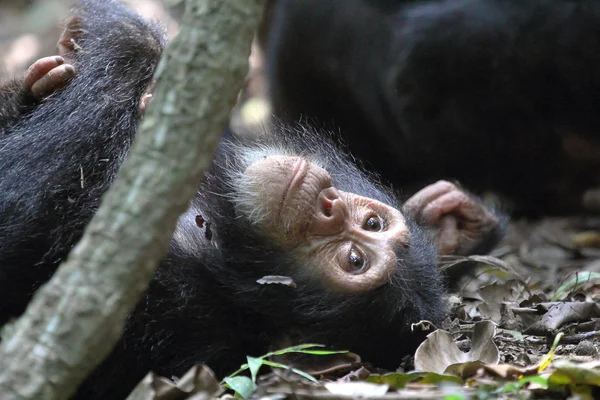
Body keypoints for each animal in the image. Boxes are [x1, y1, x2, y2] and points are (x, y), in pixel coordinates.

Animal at [1, 0, 506, 400]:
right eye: (373, 225)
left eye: (354, 260)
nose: (327, 204)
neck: (213, 234)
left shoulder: (174, 309)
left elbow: (24, 211)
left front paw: (133, 43)